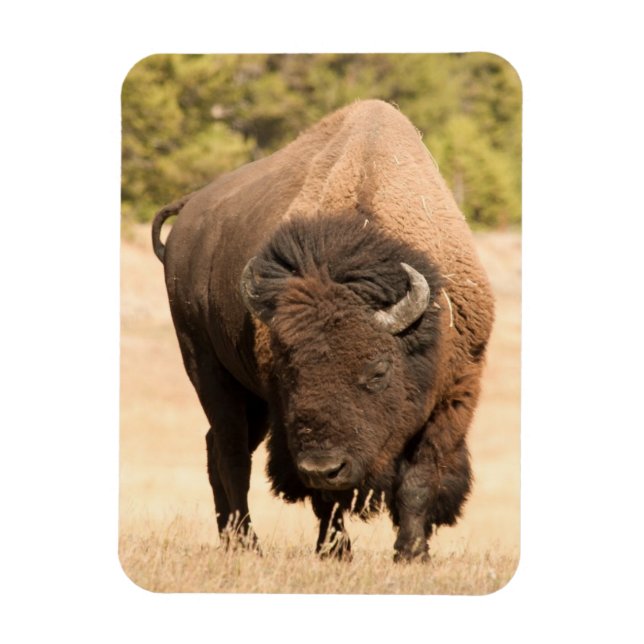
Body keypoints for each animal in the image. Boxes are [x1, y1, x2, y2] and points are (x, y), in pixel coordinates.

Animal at [152, 100, 494, 562]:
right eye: (289, 371)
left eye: (378, 371)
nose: (323, 466)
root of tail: (189, 211)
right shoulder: (289, 420)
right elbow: (326, 499)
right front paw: (336, 552)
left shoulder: (454, 395)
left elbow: (419, 479)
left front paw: (411, 553)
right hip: (207, 369)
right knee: (231, 455)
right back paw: (247, 544)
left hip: (251, 401)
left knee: (216, 449)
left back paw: (231, 540)